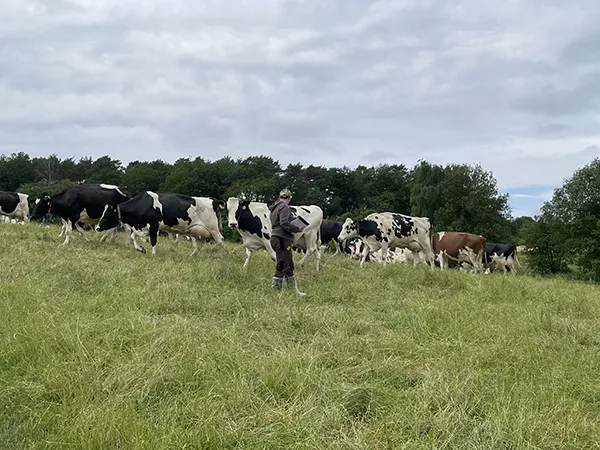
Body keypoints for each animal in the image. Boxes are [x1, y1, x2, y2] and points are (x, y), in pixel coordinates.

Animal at [96, 191, 227, 256]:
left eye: (107, 215)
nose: (97, 227)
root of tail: (213, 200)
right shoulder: (143, 227)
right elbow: (133, 236)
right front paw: (140, 249)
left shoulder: (154, 226)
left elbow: (153, 241)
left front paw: (153, 255)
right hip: (198, 231)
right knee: (200, 244)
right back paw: (191, 256)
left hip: (213, 228)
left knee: (220, 241)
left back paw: (225, 257)